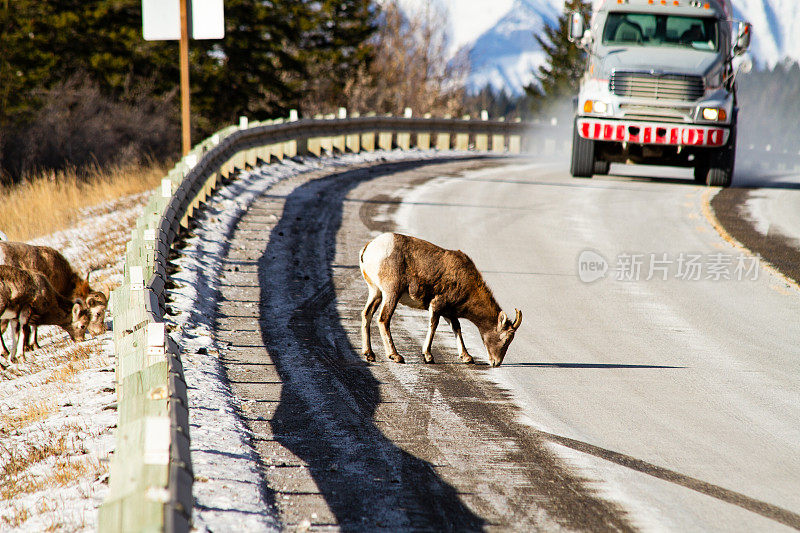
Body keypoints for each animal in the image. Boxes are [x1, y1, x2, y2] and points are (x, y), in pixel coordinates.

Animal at [360, 233, 520, 366]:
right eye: (506, 338)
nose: (496, 363)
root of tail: (368, 249)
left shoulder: (449, 312)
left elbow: (457, 328)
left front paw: (467, 357)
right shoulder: (437, 305)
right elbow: (433, 326)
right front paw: (428, 356)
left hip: (375, 292)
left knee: (366, 314)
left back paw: (369, 354)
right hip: (392, 292)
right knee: (383, 319)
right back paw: (395, 356)